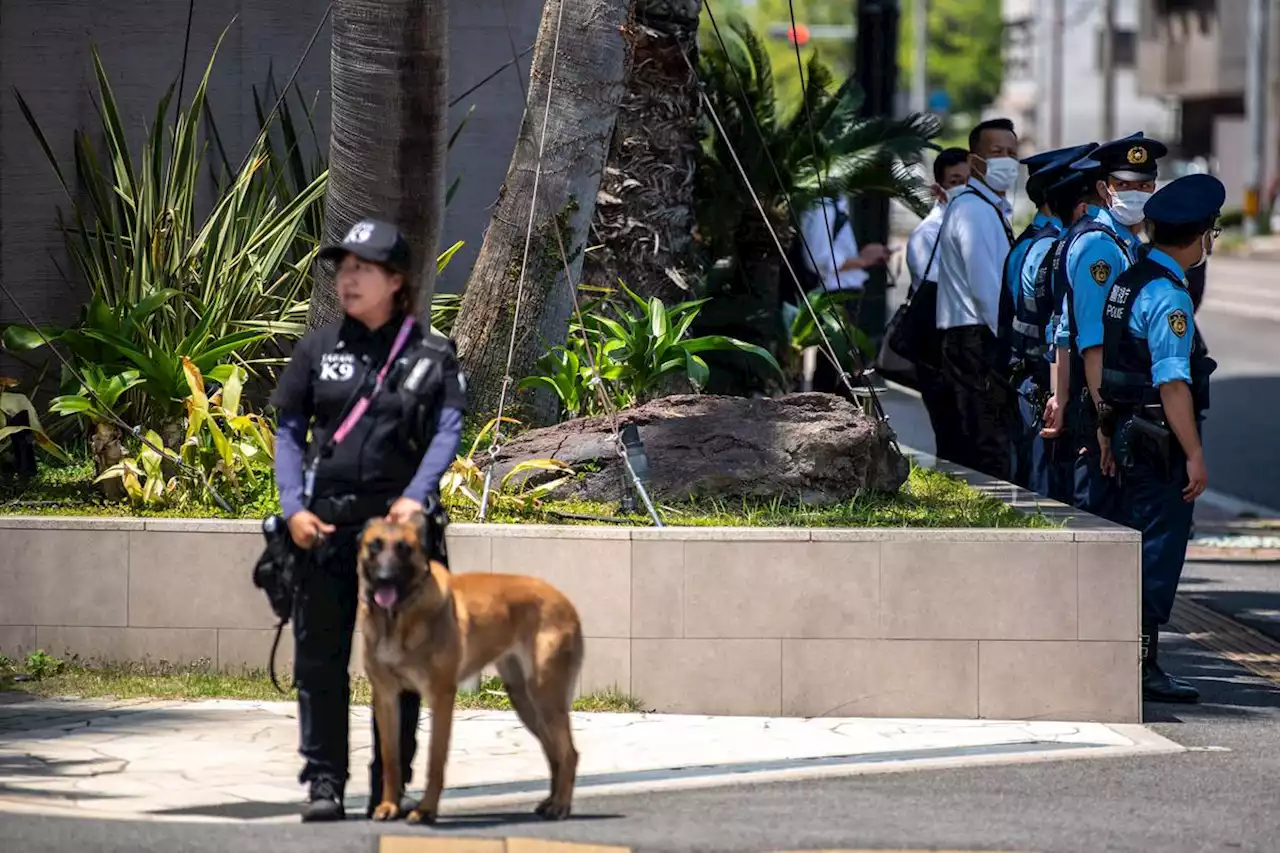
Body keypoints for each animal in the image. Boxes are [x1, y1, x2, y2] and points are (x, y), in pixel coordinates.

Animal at [355, 507, 586, 819]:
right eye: (375, 546)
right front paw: (389, 806)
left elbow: (435, 760)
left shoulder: (441, 696)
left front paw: (426, 810)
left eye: (404, 548)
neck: (397, 619)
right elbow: (391, 759)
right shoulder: (386, 696)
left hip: (545, 696)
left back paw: (560, 806)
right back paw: (551, 801)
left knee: (568, 753)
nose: (385, 578)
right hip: (525, 700)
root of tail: (565, 601)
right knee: (554, 753)